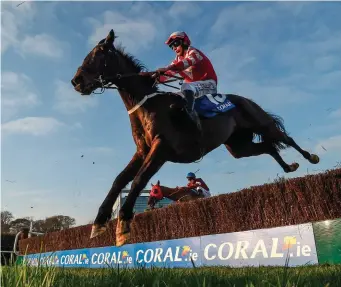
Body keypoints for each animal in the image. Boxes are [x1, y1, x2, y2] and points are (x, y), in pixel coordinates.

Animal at [69, 29, 318, 248]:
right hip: (238, 147)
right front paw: (99, 223)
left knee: (286, 138)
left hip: (262, 123)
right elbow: (119, 180)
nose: (76, 81)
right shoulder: (142, 151)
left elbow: (138, 180)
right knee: (267, 147)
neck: (148, 105)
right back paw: (288, 167)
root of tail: (246, 100)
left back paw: (310, 157)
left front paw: (123, 225)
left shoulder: (162, 148)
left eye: (99, 53)